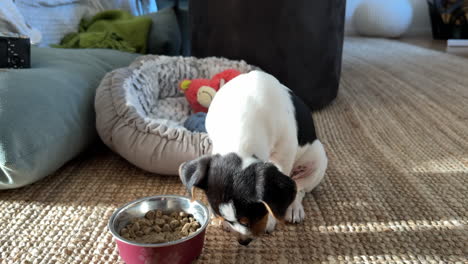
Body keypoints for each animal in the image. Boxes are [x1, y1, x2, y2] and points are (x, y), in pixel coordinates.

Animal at [178, 70, 326, 245]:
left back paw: (294, 207)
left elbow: (276, 200)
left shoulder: (284, 155)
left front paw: (271, 220)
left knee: (300, 187)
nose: (244, 241)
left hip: (318, 159)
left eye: (252, 217)